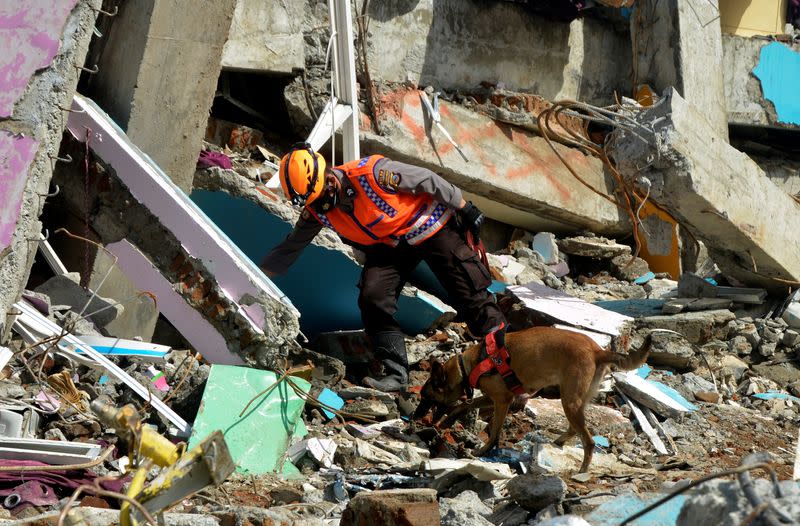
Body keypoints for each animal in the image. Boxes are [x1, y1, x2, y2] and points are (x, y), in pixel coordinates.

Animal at [416, 326, 652, 474]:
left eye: (426, 397)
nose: (415, 417)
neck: (469, 365)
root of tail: (598, 351)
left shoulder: (502, 400)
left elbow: (494, 432)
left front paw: (484, 451)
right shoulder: (497, 397)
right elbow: (467, 404)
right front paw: (449, 419)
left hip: (569, 402)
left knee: (589, 441)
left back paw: (582, 470)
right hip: (576, 400)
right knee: (575, 429)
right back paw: (559, 442)